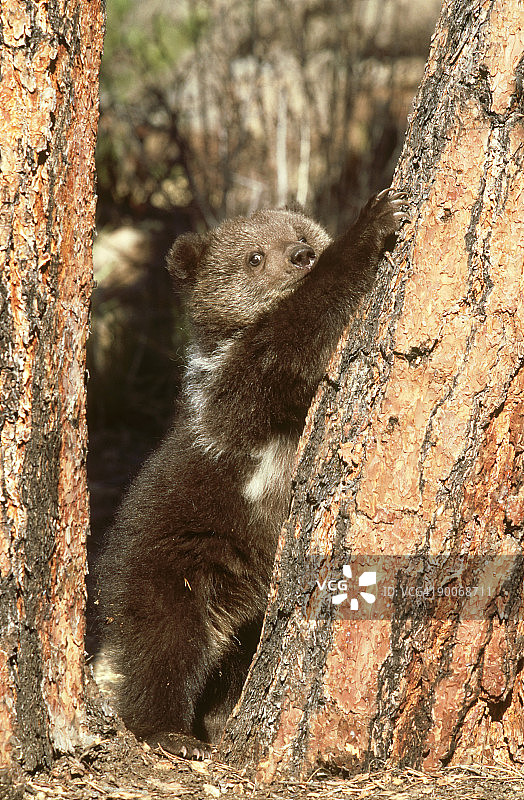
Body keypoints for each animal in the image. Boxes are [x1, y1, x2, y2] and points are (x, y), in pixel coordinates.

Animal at [97, 188, 406, 758]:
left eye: (300, 234)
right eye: (254, 256)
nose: (301, 255)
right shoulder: (241, 395)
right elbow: (291, 340)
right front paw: (374, 221)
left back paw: (217, 719)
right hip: (177, 557)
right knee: (165, 643)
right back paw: (171, 731)